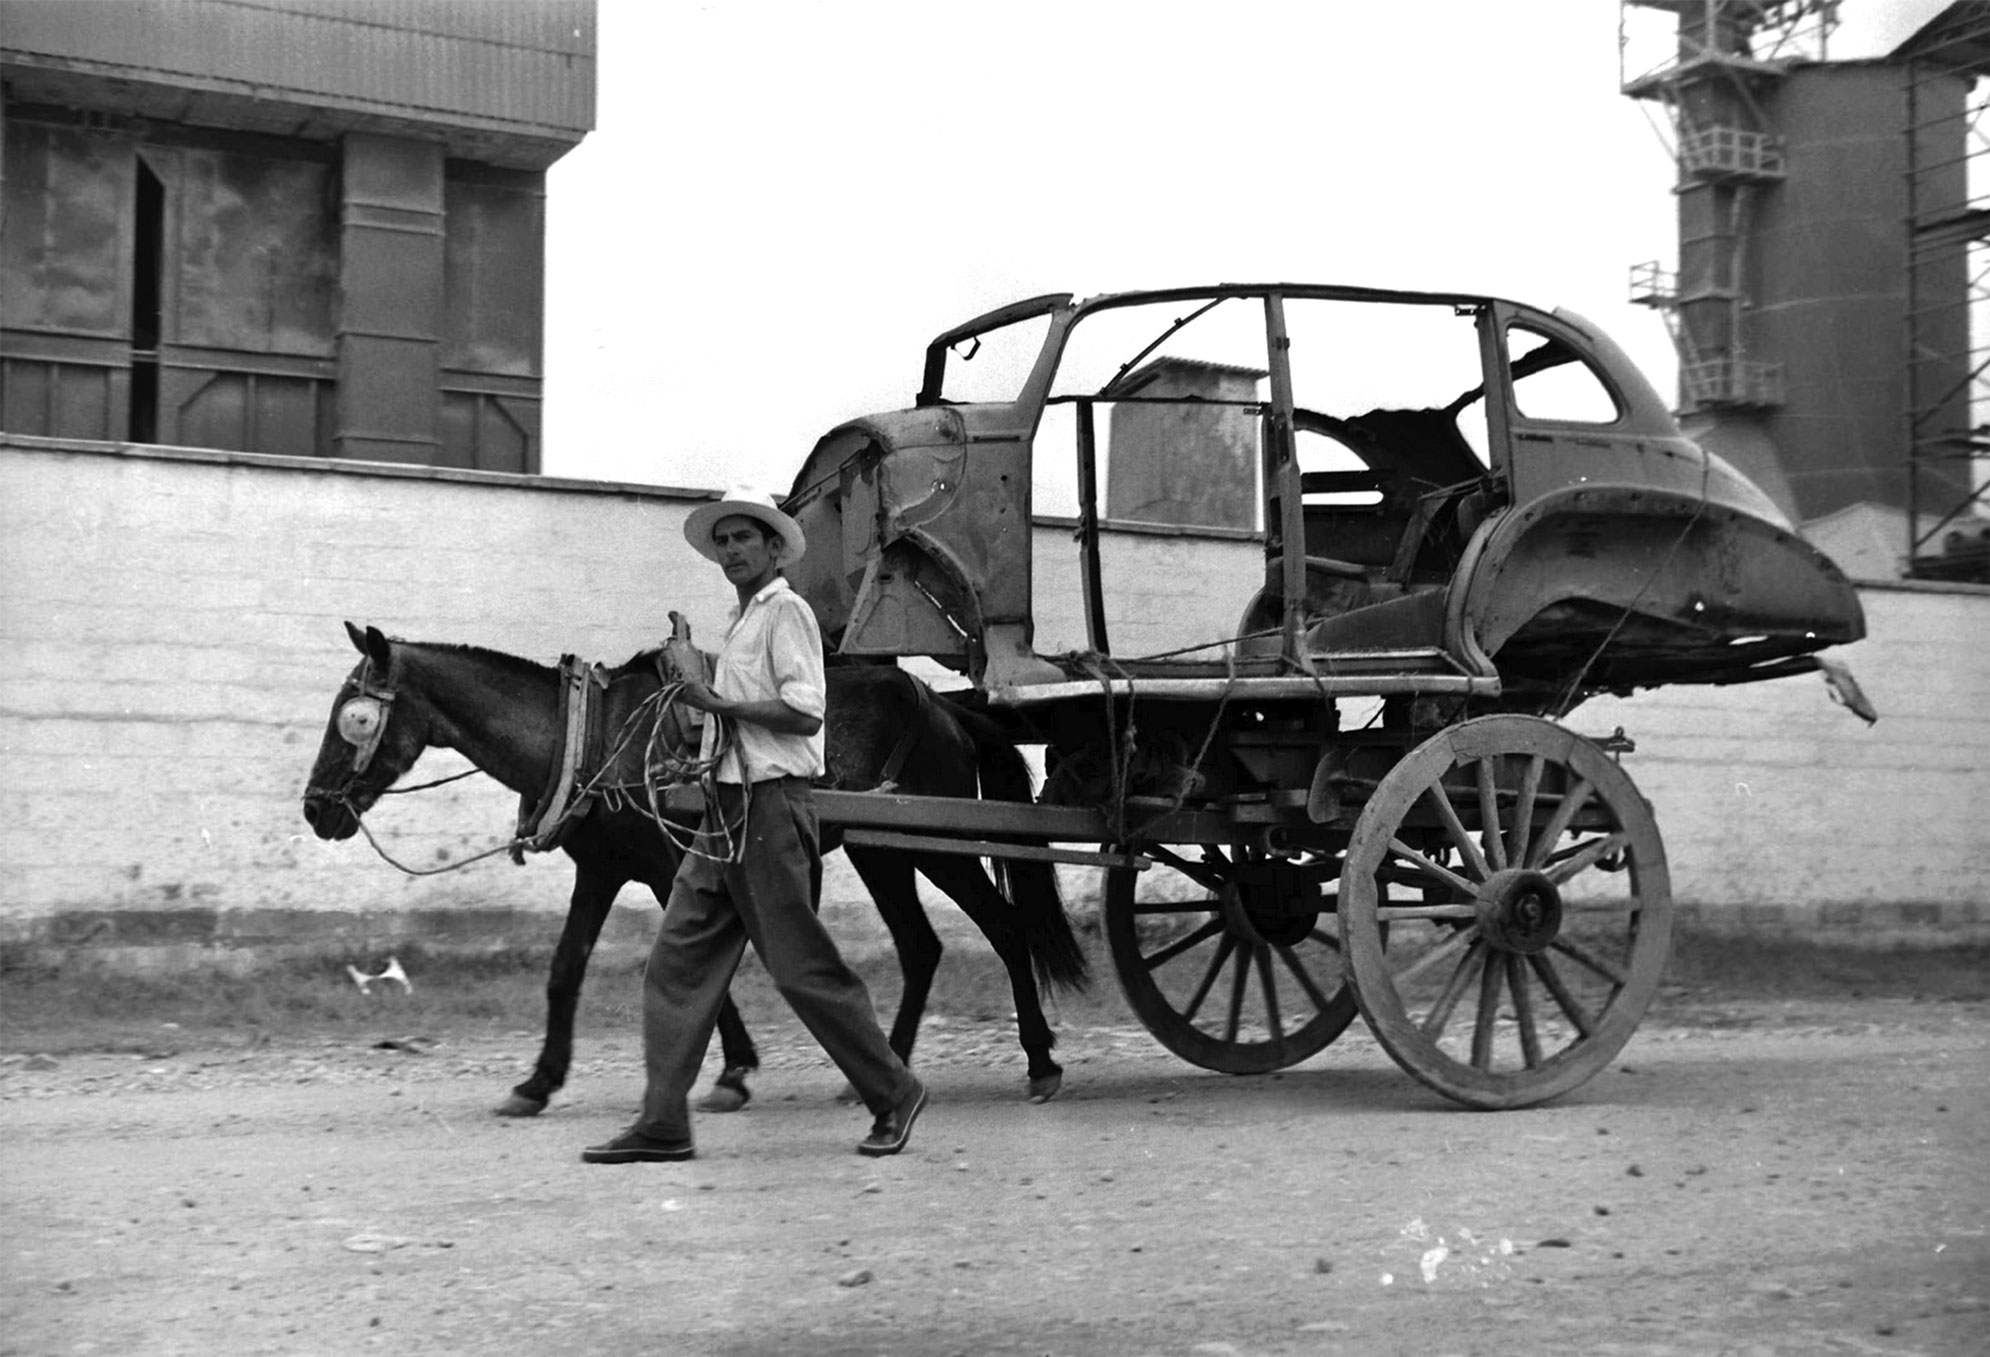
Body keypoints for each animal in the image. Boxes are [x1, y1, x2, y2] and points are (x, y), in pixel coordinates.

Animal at [298, 620, 1090, 1106]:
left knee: (1004, 927)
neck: (592, 736)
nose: (313, 809)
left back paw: (1042, 1064)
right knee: (922, 946)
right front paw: (539, 1080)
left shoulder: (665, 863)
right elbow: (567, 968)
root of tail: (947, 707)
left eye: (354, 716)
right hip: (882, 851)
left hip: (931, 843)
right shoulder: (604, 868)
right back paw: (884, 1070)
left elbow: (694, 965)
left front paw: (732, 1069)